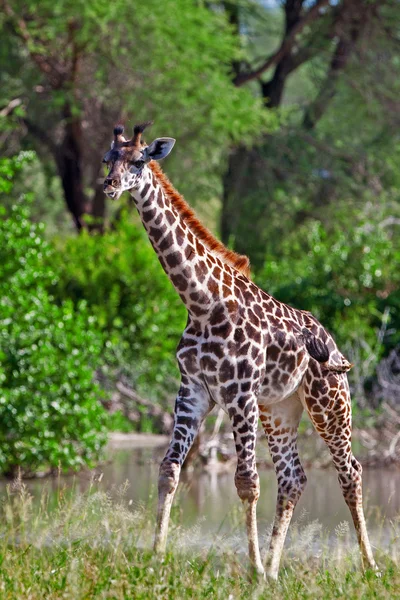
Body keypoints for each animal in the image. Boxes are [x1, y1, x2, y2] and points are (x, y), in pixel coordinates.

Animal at [103, 120, 378, 576]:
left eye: (140, 160)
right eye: (109, 158)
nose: (109, 185)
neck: (200, 301)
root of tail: (334, 343)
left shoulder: (239, 392)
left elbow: (246, 480)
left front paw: (252, 570)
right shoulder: (193, 390)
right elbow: (168, 470)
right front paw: (156, 557)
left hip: (329, 403)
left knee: (350, 471)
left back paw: (369, 566)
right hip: (280, 409)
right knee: (293, 477)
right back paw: (276, 569)